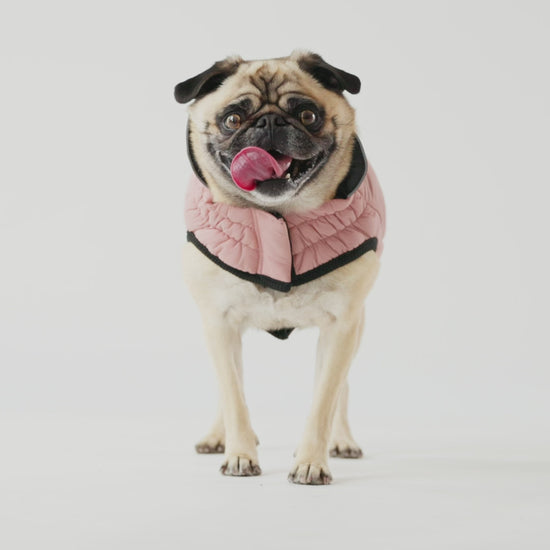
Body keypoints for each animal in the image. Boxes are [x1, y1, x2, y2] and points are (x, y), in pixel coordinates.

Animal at [174, 51, 385, 485]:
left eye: (307, 115)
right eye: (232, 119)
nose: (269, 123)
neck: (279, 216)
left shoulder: (341, 327)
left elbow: (323, 402)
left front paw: (311, 461)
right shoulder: (219, 323)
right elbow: (234, 397)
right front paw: (239, 454)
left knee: (341, 390)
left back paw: (341, 441)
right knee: (229, 385)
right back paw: (218, 436)